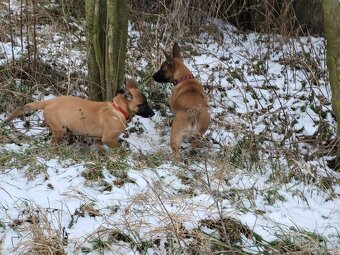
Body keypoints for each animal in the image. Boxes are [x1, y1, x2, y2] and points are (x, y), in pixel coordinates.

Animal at [5, 78, 154, 148]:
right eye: (142, 105)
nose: (153, 114)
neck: (118, 110)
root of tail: (49, 102)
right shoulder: (109, 139)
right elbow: (120, 149)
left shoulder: (99, 140)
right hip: (59, 130)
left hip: (67, 129)